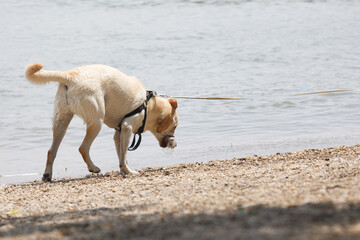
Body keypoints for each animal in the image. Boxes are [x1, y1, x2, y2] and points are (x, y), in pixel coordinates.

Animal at [24, 63, 178, 182]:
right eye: (175, 126)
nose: (175, 145)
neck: (148, 105)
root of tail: (70, 75)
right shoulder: (127, 127)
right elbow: (124, 155)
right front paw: (129, 171)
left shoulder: (119, 133)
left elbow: (121, 155)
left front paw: (124, 169)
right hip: (96, 121)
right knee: (83, 148)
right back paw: (93, 168)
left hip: (61, 120)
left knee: (51, 150)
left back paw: (47, 175)